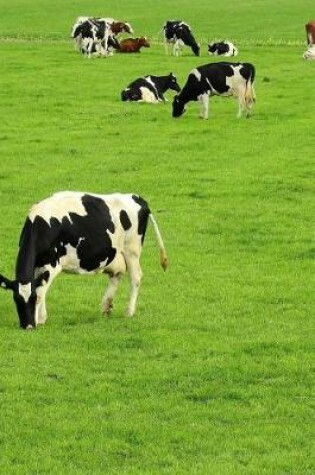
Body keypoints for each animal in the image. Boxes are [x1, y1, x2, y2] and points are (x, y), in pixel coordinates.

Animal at [0, 192, 169, 330]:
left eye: (33, 299)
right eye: (16, 299)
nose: (27, 326)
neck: (41, 225)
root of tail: (137, 197)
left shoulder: (52, 265)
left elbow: (41, 292)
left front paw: (40, 319)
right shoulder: (39, 266)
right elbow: (40, 288)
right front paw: (40, 318)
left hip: (132, 250)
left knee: (135, 278)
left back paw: (129, 312)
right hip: (116, 255)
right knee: (116, 275)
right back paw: (106, 307)